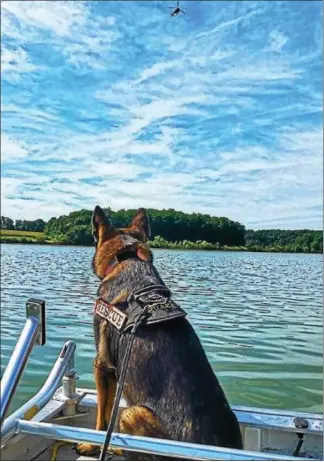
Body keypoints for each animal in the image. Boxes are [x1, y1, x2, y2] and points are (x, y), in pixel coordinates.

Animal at [76, 207, 243, 458]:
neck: (127, 258)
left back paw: (116, 447)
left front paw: (90, 444)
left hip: (131, 413)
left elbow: (101, 418)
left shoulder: (103, 366)